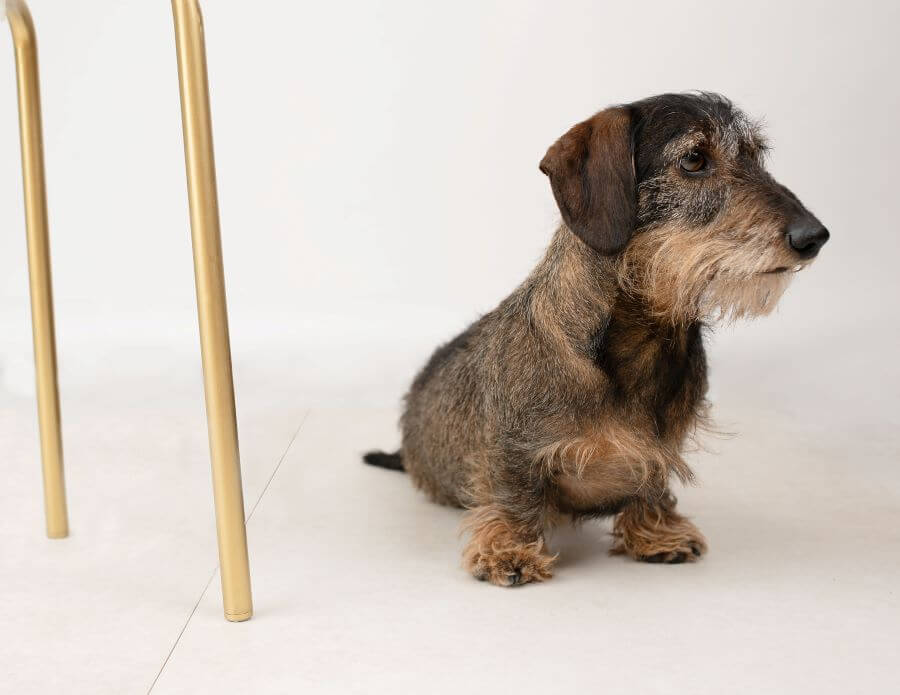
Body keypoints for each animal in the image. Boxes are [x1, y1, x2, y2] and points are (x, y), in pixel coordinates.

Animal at [362, 94, 828, 588]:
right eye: (694, 159)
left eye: (756, 156)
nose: (815, 236)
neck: (641, 341)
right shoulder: (512, 448)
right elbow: (514, 494)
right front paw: (509, 550)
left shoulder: (661, 448)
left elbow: (652, 481)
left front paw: (656, 532)